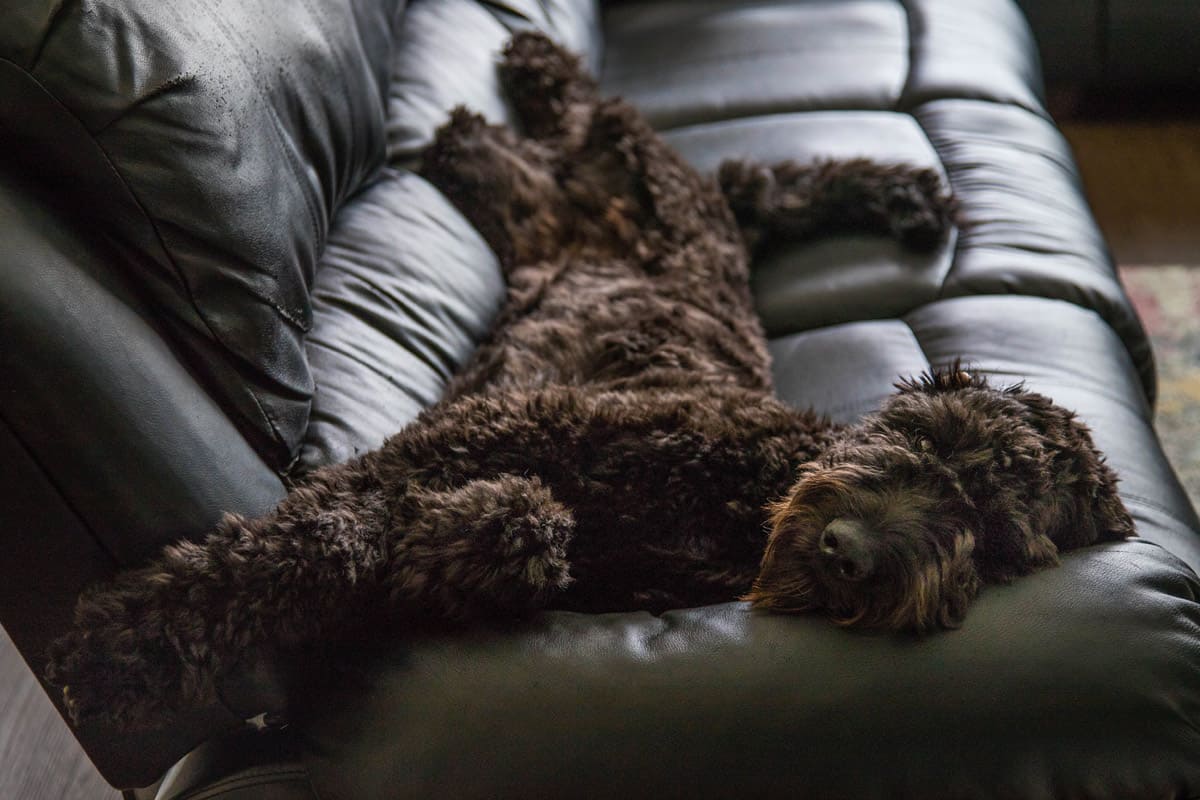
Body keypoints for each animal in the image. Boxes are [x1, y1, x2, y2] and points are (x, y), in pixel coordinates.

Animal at [46, 32, 1132, 734]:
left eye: (994, 532)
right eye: (924, 441)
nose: (849, 554)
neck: (737, 494)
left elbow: (518, 528)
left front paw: (452, 544)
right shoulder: (464, 439)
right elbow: (313, 538)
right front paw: (116, 650)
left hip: (569, 210)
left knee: (671, 175)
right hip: (635, 176)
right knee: (630, 126)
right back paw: (531, 67)